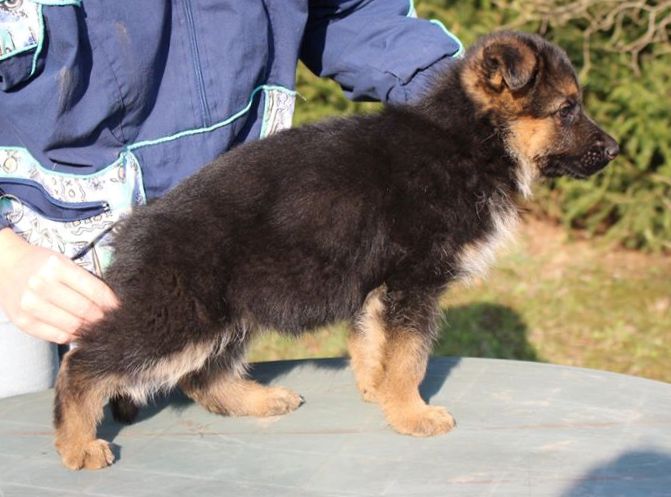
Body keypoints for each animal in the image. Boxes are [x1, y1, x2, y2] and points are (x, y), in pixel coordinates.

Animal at [53, 31, 618, 470]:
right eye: (567, 109)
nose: (614, 149)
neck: (468, 142)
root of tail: (131, 230)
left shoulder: (380, 286)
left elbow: (373, 342)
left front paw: (378, 391)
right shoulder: (412, 282)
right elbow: (410, 356)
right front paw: (411, 413)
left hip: (231, 315)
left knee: (203, 374)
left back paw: (257, 399)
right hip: (177, 316)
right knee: (84, 365)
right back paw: (77, 444)